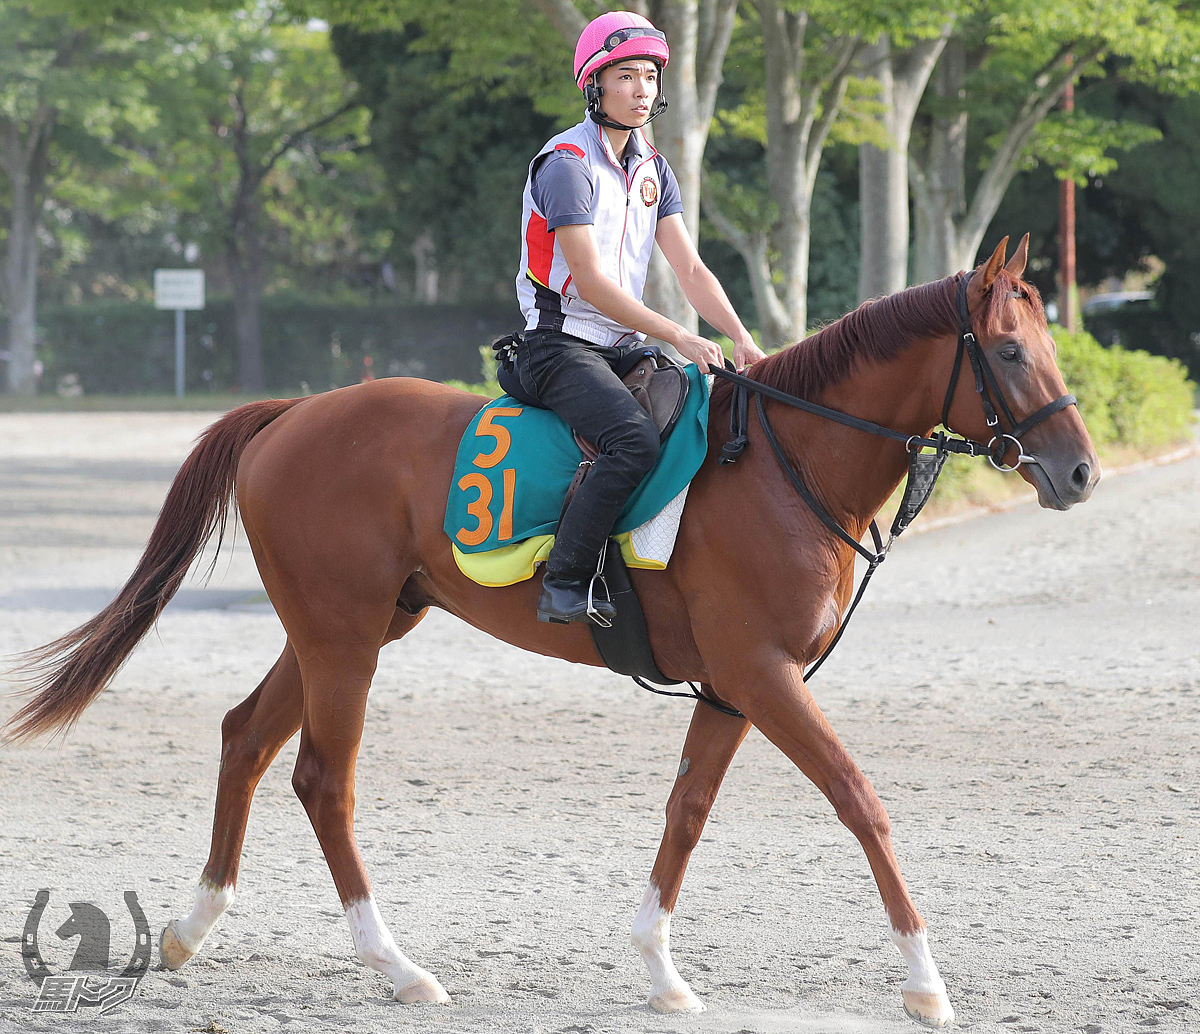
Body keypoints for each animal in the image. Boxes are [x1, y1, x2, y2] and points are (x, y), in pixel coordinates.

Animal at [4, 241, 1099, 1026]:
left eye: (1049, 348)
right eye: (1009, 352)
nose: (1081, 471)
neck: (783, 461)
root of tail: (296, 413)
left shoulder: (732, 687)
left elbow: (687, 810)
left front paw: (660, 968)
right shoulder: (766, 674)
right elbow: (860, 800)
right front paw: (926, 980)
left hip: (343, 630)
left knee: (245, 736)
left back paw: (190, 928)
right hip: (344, 641)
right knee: (322, 778)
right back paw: (396, 965)